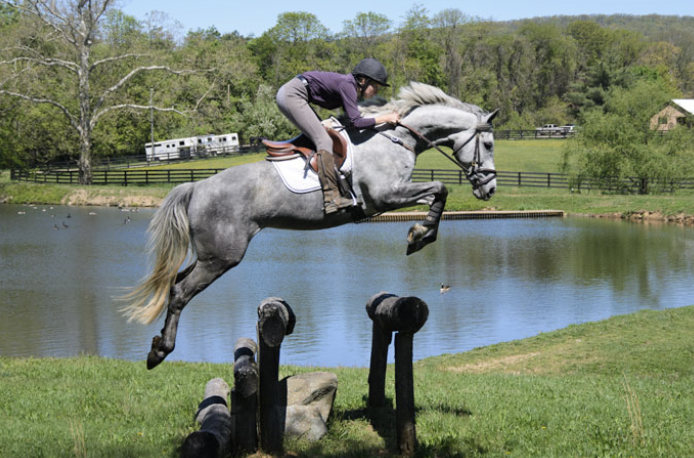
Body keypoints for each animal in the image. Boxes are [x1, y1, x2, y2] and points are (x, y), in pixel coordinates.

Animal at [123, 81, 500, 368]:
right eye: (489, 144)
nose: (490, 188)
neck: (395, 138)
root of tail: (195, 187)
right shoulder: (386, 196)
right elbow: (441, 188)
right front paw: (419, 236)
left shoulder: (395, 196)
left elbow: (438, 194)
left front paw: (420, 233)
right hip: (222, 257)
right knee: (181, 292)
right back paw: (160, 352)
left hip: (210, 256)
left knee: (175, 283)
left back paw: (156, 345)